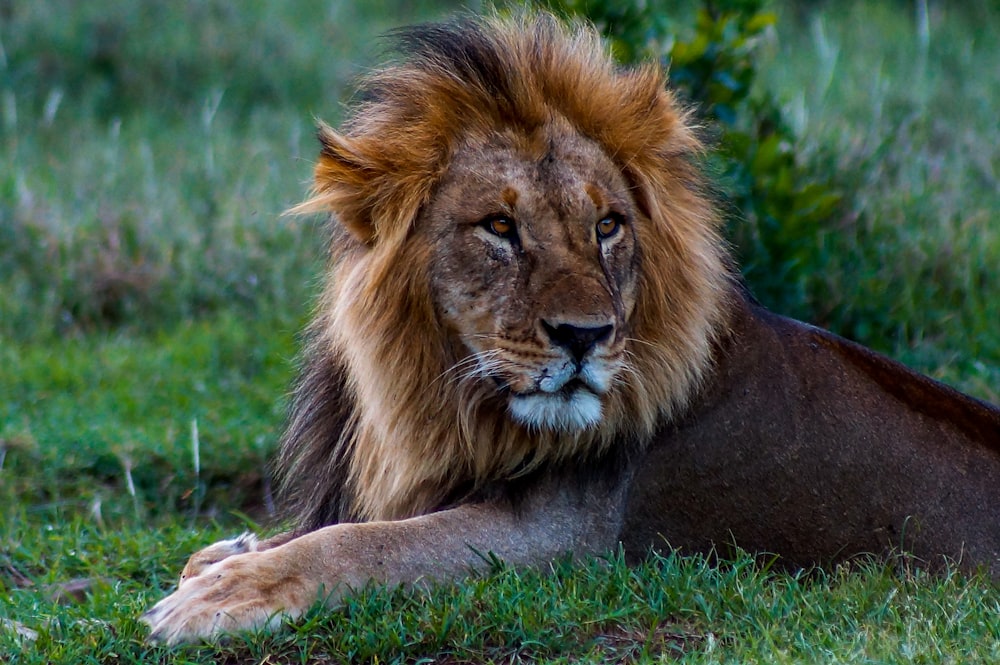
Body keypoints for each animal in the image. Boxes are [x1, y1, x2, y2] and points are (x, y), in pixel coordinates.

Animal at [143, 10, 1000, 644]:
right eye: (499, 227)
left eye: (607, 225)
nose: (586, 336)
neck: (447, 400)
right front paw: (222, 556)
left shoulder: (565, 540)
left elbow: (365, 542)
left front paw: (220, 594)